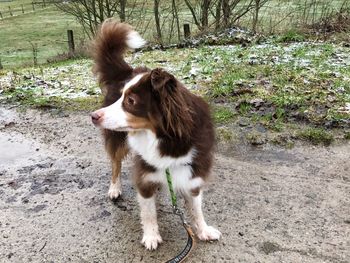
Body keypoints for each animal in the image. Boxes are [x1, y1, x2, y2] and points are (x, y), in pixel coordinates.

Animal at [91, 19, 221, 251]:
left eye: (130, 101)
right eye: (121, 97)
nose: (93, 116)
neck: (167, 139)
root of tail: (128, 69)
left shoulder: (193, 171)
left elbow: (196, 208)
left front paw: (203, 230)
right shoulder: (144, 172)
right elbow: (148, 211)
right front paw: (151, 236)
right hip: (118, 139)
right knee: (115, 163)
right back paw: (114, 188)